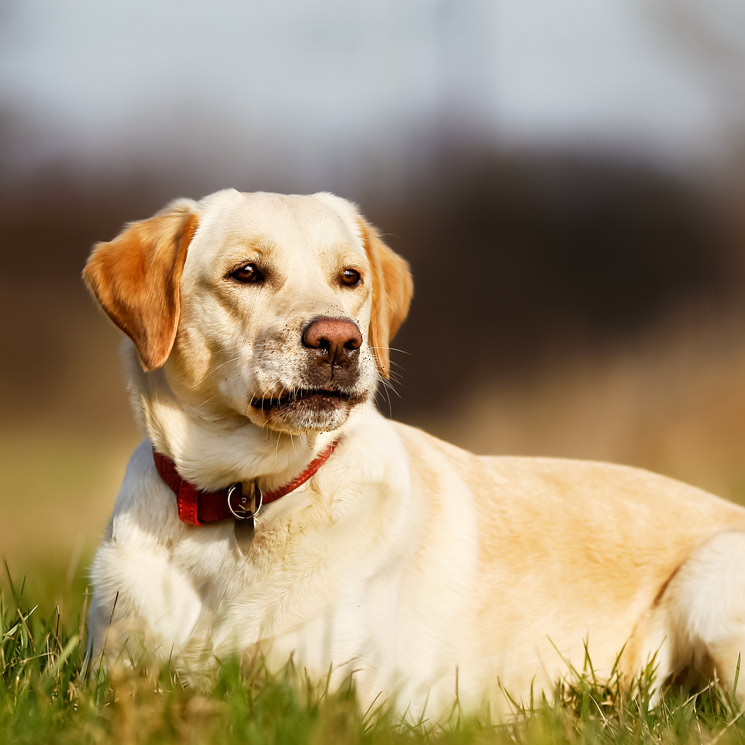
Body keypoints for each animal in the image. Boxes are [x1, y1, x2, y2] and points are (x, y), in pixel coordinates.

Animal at [84, 189, 744, 716]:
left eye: (350, 278)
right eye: (246, 272)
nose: (339, 341)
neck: (242, 497)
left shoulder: (341, 693)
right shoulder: (111, 673)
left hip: (709, 582)